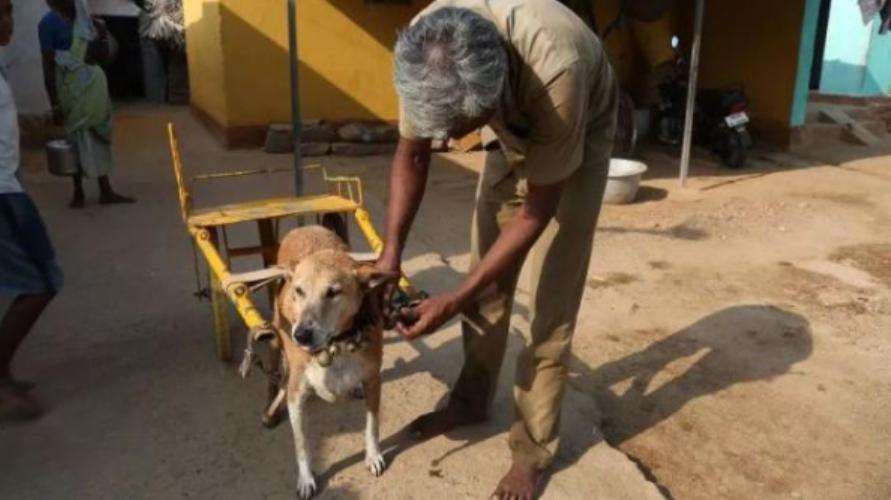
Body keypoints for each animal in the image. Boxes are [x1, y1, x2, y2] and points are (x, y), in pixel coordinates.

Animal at [268, 227, 394, 500]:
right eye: (299, 291)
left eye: (333, 292)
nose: (301, 335)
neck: (337, 344)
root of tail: (304, 228)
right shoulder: (296, 396)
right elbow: (302, 444)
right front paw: (306, 479)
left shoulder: (373, 380)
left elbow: (372, 424)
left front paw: (373, 456)